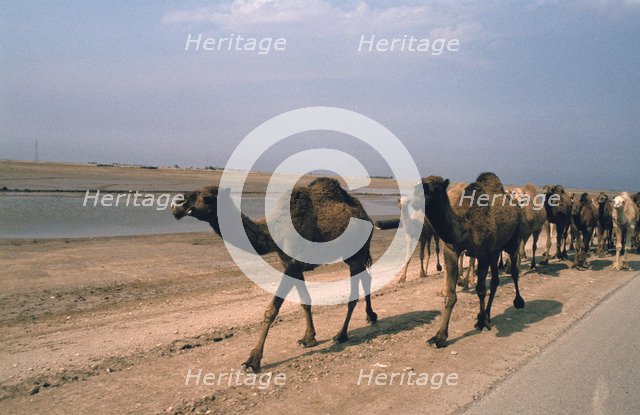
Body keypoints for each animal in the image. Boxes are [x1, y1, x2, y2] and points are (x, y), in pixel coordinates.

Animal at [172, 178, 377, 371]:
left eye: (207, 198)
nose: (177, 204)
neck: (273, 232)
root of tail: (367, 217)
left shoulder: (292, 265)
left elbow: (271, 310)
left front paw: (253, 360)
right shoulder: (291, 265)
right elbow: (305, 301)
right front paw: (308, 338)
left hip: (356, 253)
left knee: (354, 292)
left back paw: (341, 334)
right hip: (354, 255)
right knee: (366, 277)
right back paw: (371, 316)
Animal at [412, 172, 524, 348]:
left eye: (435, 188)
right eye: (419, 184)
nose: (415, 199)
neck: (466, 227)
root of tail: (516, 205)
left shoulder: (483, 254)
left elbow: (480, 289)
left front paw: (481, 322)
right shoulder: (452, 251)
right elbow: (451, 295)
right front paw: (439, 337)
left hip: (513, 239)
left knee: (513, 271)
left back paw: (518, 302)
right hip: (495, 250)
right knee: (495, 280)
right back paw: (488, 313)